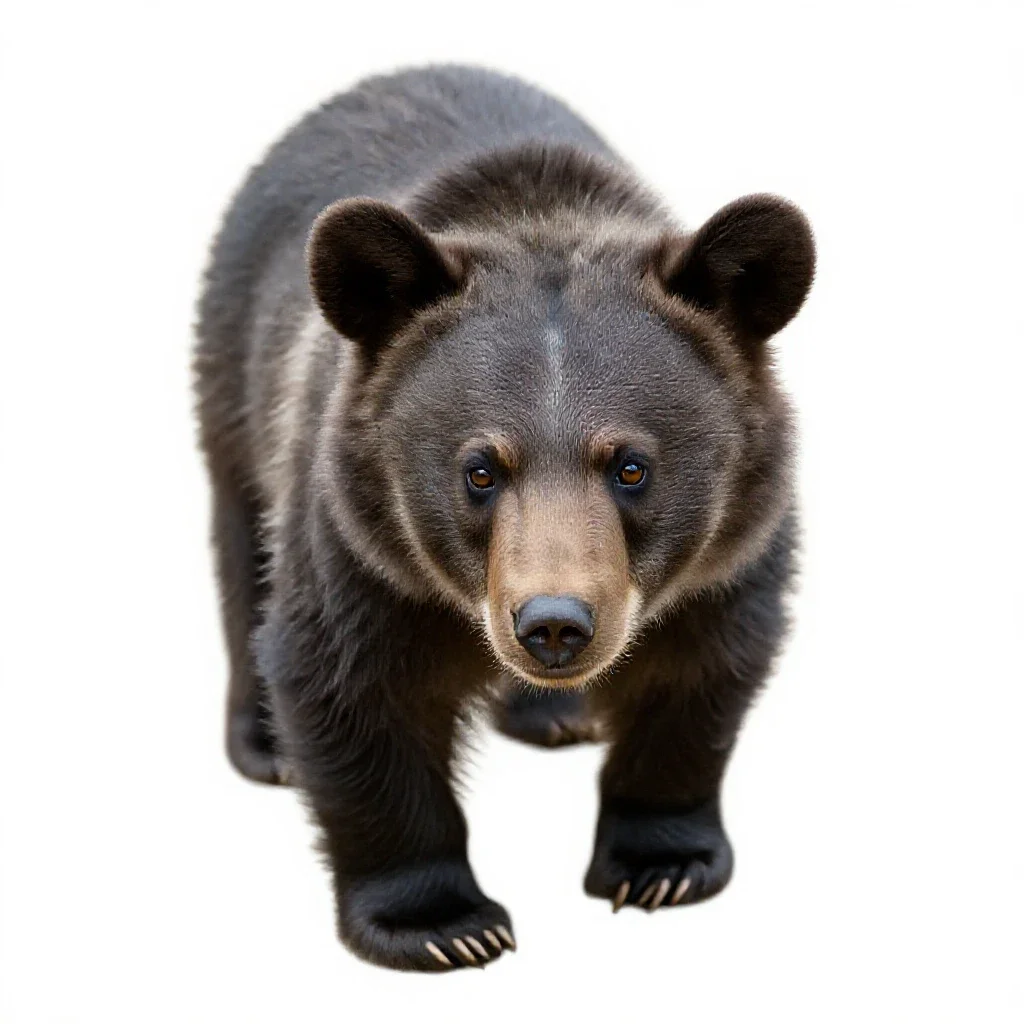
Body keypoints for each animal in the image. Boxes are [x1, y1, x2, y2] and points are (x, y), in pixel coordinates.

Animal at [193, 64, 814, 972]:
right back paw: (266, 744)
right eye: (480, 469)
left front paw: (662, 865)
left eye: (632, 467)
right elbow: (349, 683)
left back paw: (555, 715)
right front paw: (443, 923)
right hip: (236, 371)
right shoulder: (361, 538)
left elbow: (699, 670)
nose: (554, 623)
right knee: (245, 540)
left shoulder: (733, 546)